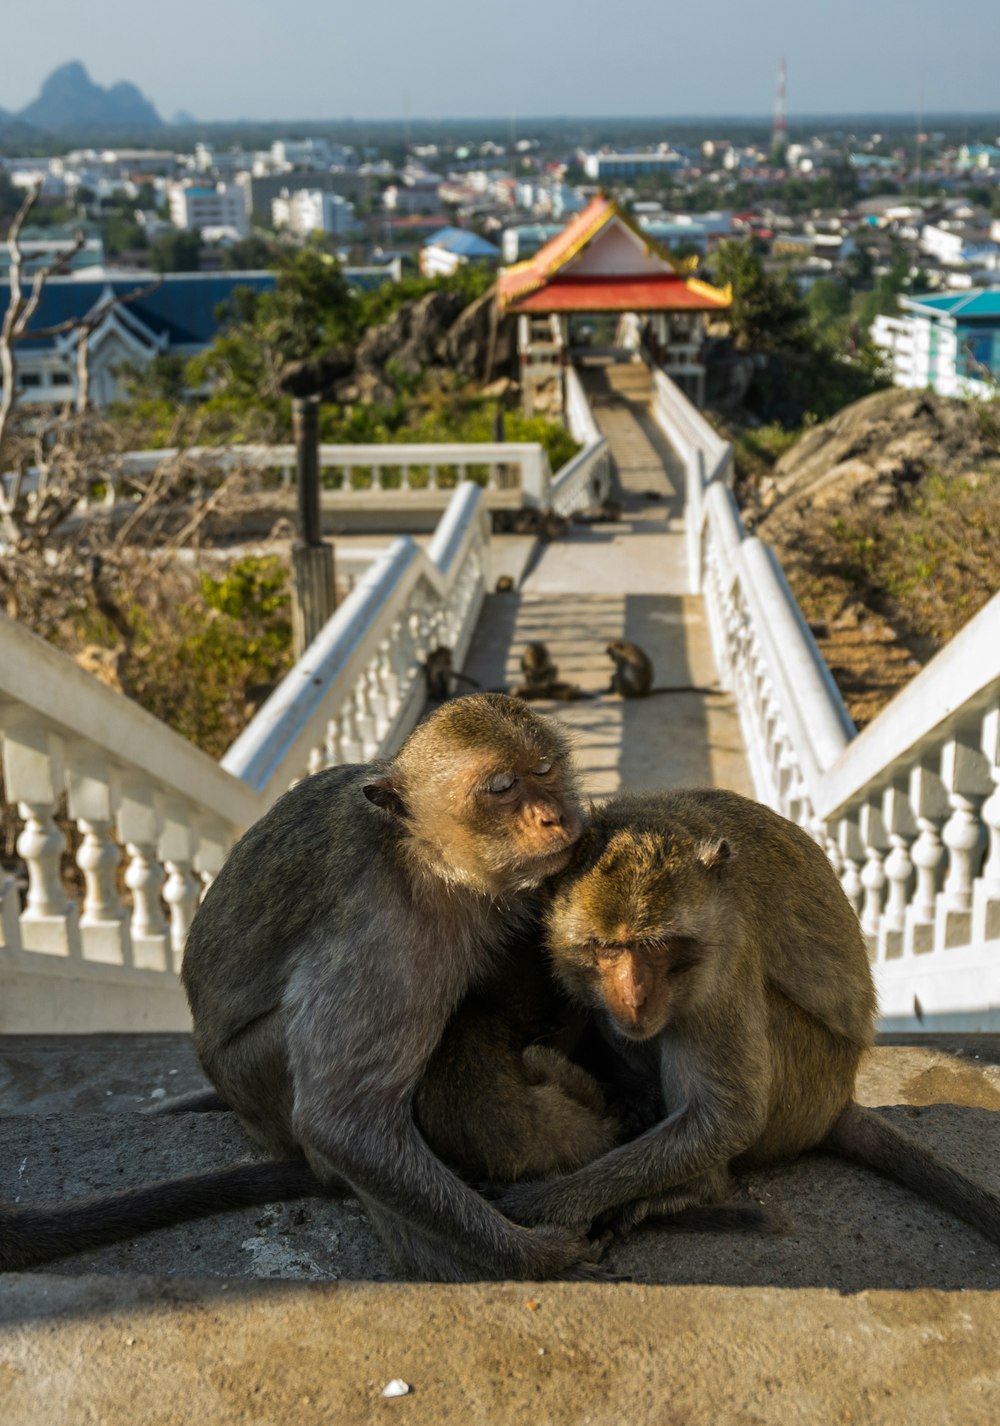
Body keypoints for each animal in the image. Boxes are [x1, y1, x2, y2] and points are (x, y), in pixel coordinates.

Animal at [0, 693, 607, 1283]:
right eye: (502, 787)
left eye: (544, 769)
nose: (554, 815)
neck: (423, 855)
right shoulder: (381, 930)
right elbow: (341, 1123)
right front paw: (537, 1257)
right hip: (256, 1074)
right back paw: (427, 1254)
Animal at [490, 792, 998, 1249]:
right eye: (606, 947)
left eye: (657, 945)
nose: (635, 996)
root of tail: (838, 1103)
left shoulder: (726, 957)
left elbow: (729, 1119)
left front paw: (543, 1201)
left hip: (804, 1090)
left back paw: (697, 1190)